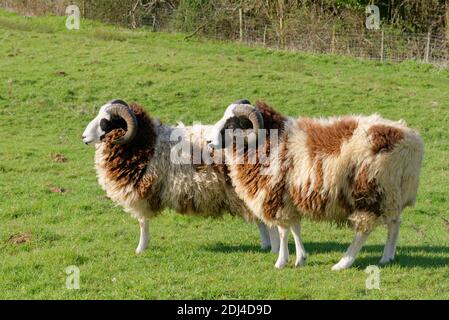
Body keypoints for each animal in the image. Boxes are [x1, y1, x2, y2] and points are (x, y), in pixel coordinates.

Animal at [80, 100, 276, 255]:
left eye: (105, 122)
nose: (83, 137)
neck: (146, 142)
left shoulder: (141, 191)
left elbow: (143, 223)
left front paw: (140, 249)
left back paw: (271, 247)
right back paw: (266, 246)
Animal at [206, 100, 424, 270]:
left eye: (232, 123)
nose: (208, 141)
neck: (269, 142)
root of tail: (411, 143)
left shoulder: (277, 195)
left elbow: (283, 231)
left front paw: (281, 261)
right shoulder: (290, 196)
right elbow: (295, 228)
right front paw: (301, 258)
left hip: (370, 190)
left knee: (364, 230)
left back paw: (343, 263)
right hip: (392, 194)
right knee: (394, 224)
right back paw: (387, 257)